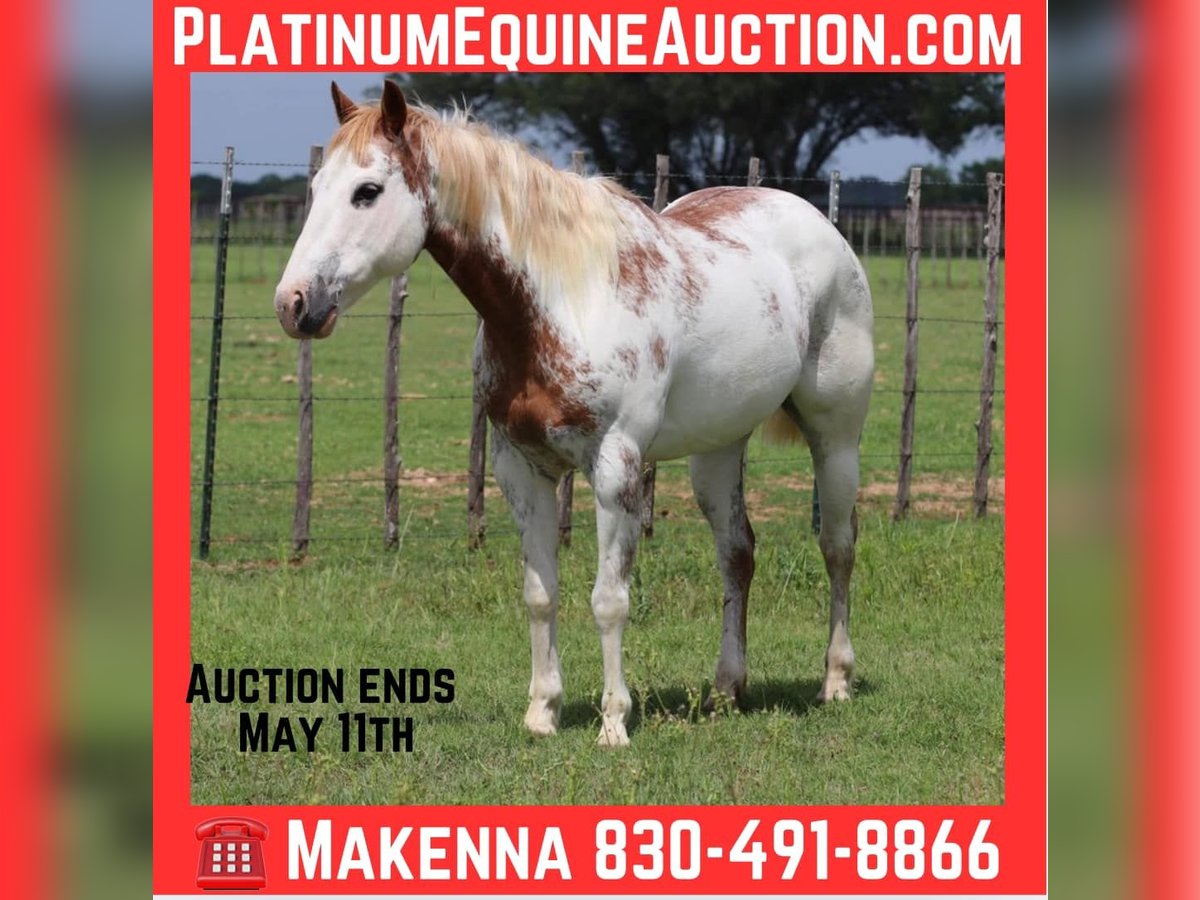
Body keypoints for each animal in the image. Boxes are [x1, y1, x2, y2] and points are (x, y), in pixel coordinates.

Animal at [274, 81, 874, 747]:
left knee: (837, 546)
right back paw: (726, 690)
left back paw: (836, 681)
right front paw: (542, 713)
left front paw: (614, 722)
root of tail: (817, 223)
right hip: (717, 450)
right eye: (318, 187)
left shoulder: (615, 469)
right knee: (737, 553)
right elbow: (541, 593)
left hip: (836, 435)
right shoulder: (521, 469)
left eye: (368, 191)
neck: (560, 300)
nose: (294, 303)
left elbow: (609, 599)